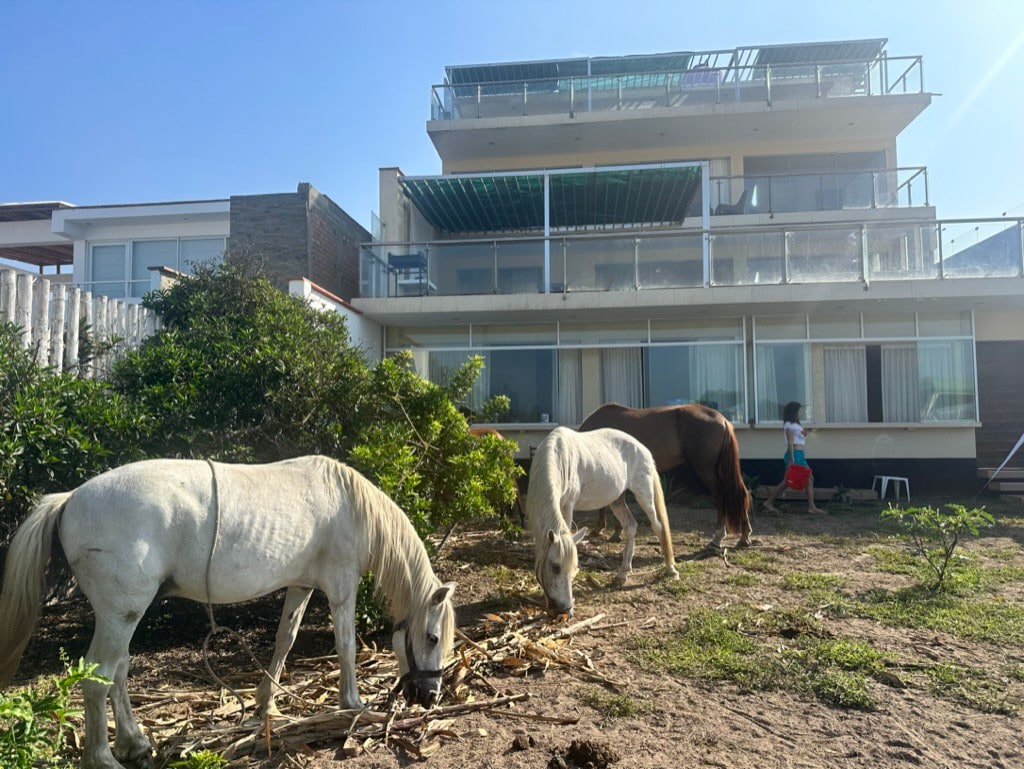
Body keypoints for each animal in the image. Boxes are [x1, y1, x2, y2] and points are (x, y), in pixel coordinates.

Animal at [0, 456, 456, 769]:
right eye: (432, 637)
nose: (430, 697)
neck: (349, 506)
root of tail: (70, 498)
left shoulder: (301, 586)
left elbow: (284, 641)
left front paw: (265, 703)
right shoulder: (341, 588)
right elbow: (345, 646)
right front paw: (352, 703)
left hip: (122, 617)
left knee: (118, 672)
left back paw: (134, 742)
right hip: (121, 615)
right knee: (98, 677)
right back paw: (103, 757)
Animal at [528, 428, 679, 614]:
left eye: (573, 567)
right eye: (555, 567)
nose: (566, 608)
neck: (558, 456)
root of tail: (643, 449)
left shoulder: (567, 505)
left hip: (644, 493)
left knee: (658, 526)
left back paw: (671, 570)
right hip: (617, 500)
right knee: (630, 526)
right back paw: (622, 575)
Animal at [585, 403, 753, 548]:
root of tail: (722, 419)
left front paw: (601, 529)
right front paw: (612, 531)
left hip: (707, 470)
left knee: (720, 497)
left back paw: (718, 537)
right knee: (740, 493)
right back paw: (744, 537)